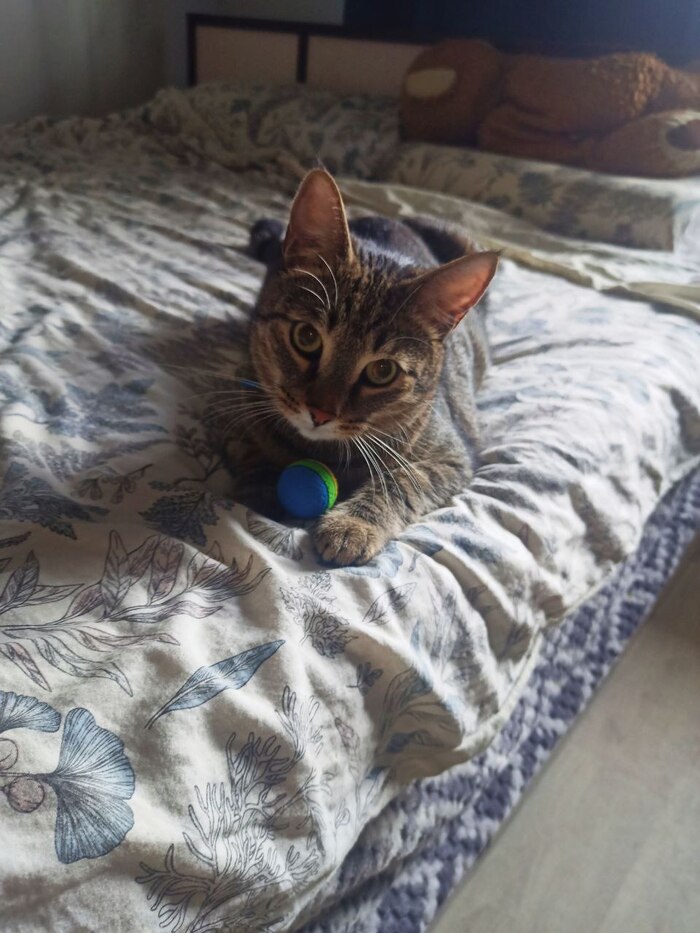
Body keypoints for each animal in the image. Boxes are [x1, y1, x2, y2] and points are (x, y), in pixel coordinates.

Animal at [226, 168, 498, 566]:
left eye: (382, 371)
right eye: (306, 336)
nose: (320, 413)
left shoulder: (453, 456)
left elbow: (403, 480)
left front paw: (354, 524)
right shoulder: (241, 386)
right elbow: (250, 434)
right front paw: (259, 479)